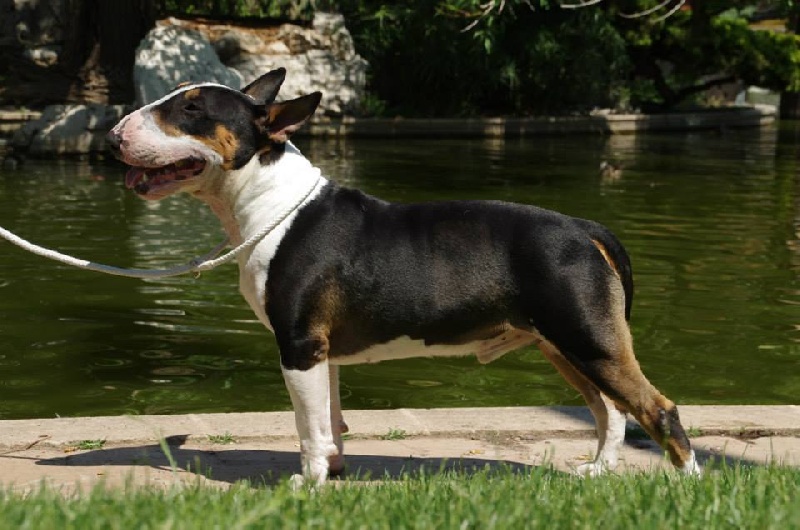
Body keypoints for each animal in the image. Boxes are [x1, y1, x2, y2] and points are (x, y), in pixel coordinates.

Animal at [107, 68, 701, 486]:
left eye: (190, 109)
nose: (113, 138)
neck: (270, 201)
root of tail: (586, 227)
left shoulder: (299, 345)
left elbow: (308, 426)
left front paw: (307, 483)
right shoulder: (324, 350)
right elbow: (331, 418)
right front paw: (334, 472)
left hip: (587, 338)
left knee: (657, 408)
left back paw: (690, 487)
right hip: (563, 343)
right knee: (610, 410)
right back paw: (598, 470)